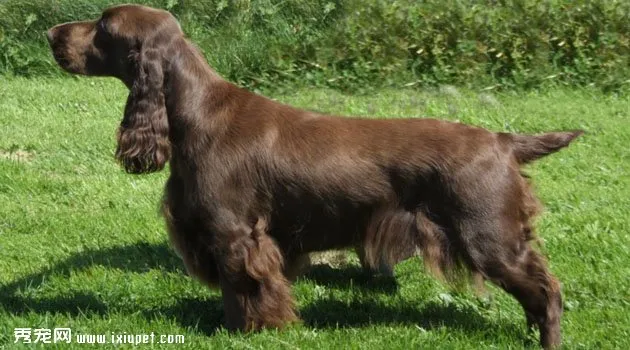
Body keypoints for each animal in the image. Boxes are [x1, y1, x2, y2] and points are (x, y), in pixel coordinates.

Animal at [47, 4, 584, 348]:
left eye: (103, 25)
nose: (51, 33)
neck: (194, 112)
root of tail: (503, 140)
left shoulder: (235, 232)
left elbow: (244, 292)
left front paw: (252, 331)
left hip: (487, 235)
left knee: (548, 291)